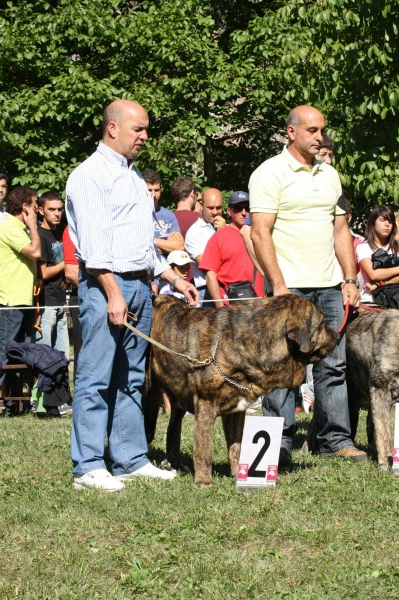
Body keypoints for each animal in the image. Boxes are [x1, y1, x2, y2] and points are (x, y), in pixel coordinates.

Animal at [144, 292, 338, 486]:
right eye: (321, 323)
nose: (336, 335)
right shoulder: (206, 404)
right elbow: (204, 447)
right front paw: (204, 481)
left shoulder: (236, 410)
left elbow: (237, 443)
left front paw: (240, 473)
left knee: (173, 428)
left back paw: (174, 464)